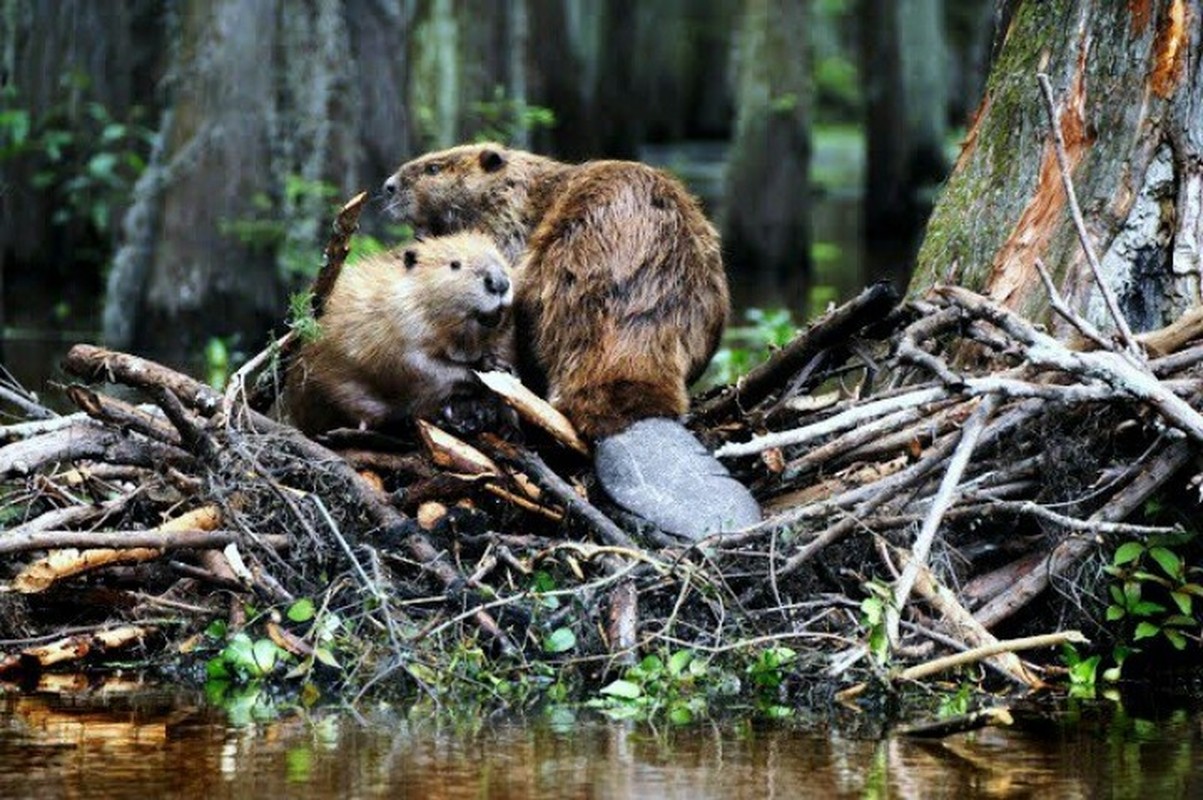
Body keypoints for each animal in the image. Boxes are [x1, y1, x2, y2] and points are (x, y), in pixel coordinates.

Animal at [285, 230, 512, 437]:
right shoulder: (396, 326)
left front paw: (496, 366)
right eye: (454, 264)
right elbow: (416, 366)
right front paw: (483, 373)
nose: (499, 282)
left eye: (499, 256)